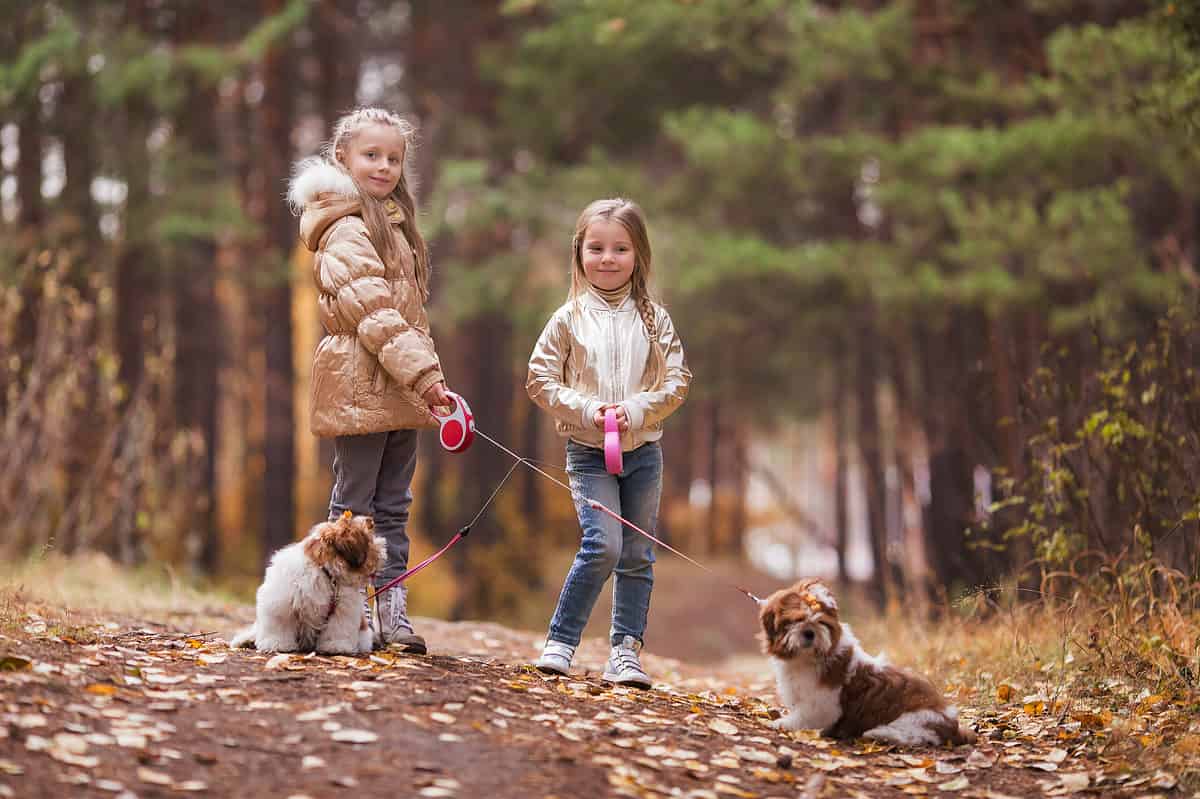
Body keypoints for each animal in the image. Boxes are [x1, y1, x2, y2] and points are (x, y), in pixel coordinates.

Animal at [758, 575, 974, 743]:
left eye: (821, 622)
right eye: (795, 620)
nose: (809, 633)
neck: (806, 658)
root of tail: (952, 723)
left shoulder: (822, 704)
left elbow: (806, 716)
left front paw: (783, 723)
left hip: (915, 718)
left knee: (916, 735)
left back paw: (879, 733)